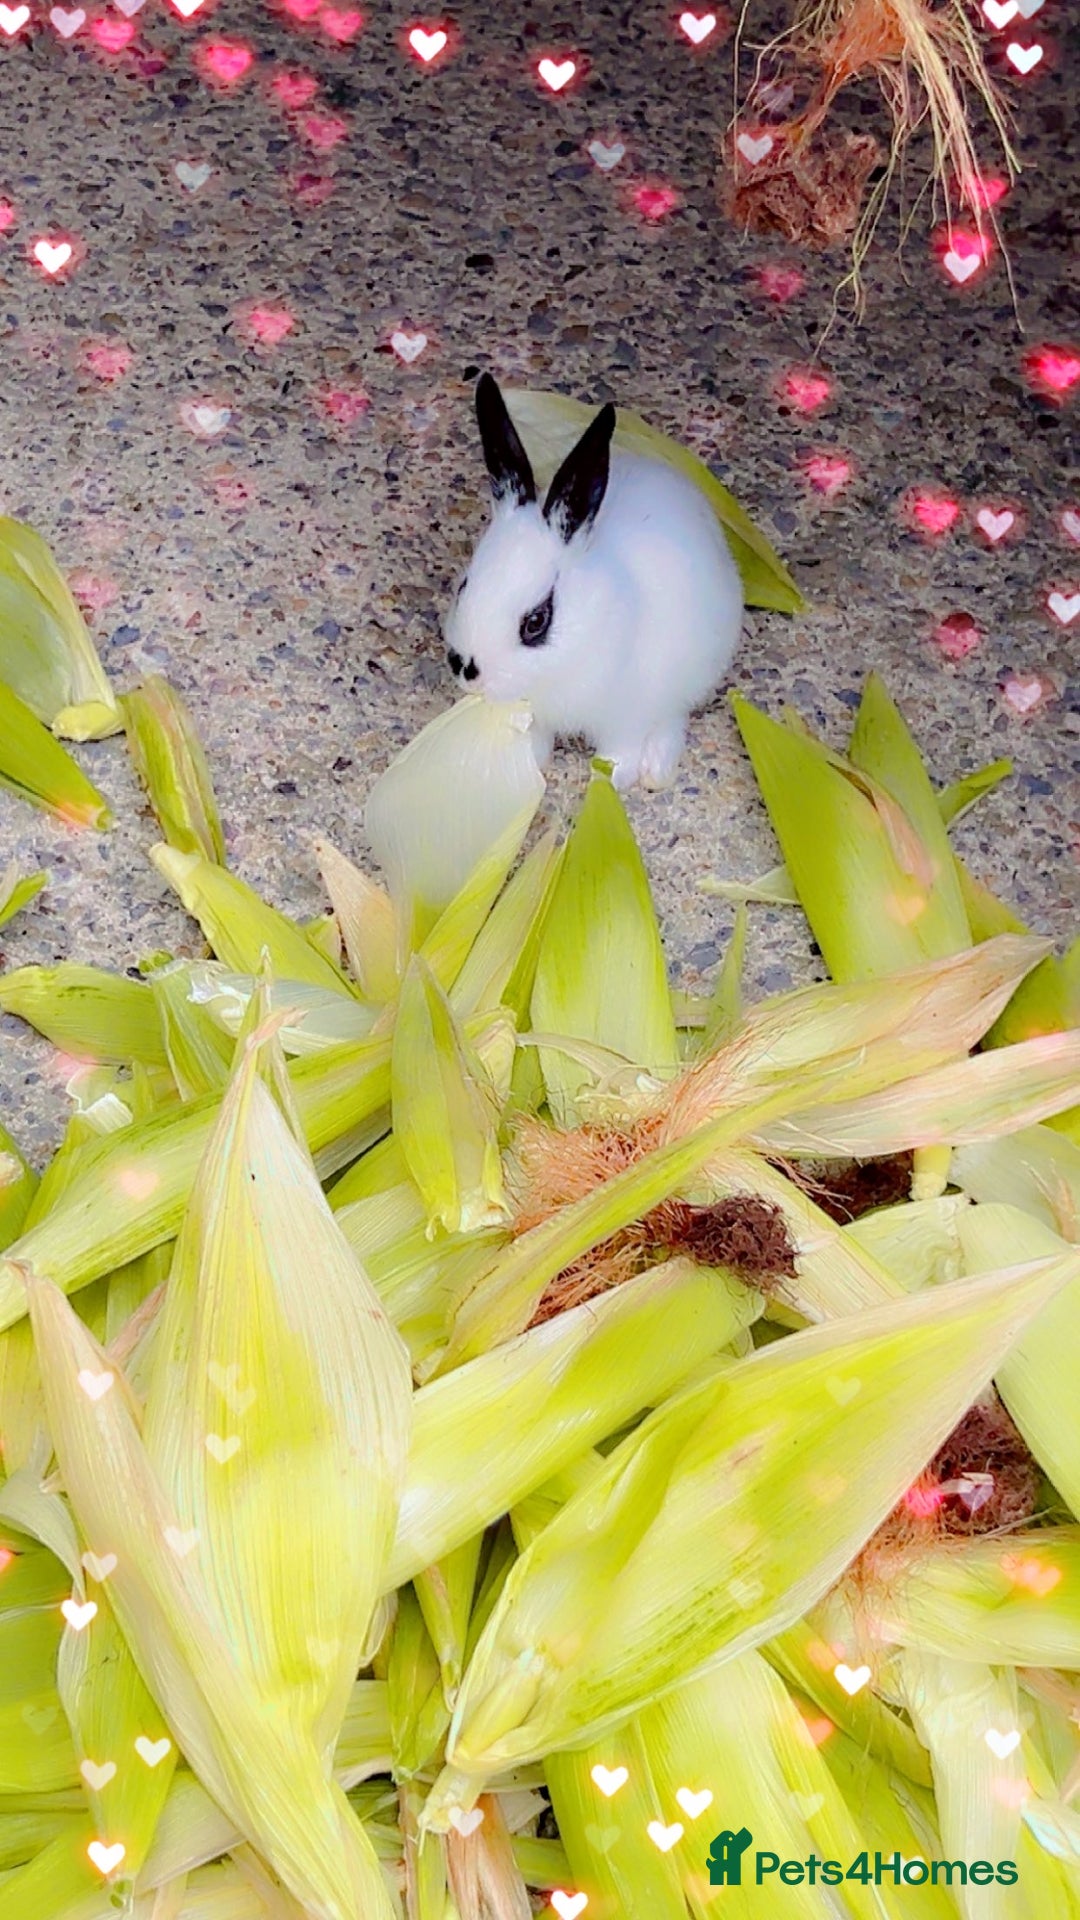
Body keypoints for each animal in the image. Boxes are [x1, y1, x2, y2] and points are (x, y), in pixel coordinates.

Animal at [442, 372, 745, 791]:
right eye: (463, 586)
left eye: (536, 621)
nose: (467, 671)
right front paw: (530, 764)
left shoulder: (627, 715)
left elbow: (622, 751)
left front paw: (611, 779)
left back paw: (657, 769)